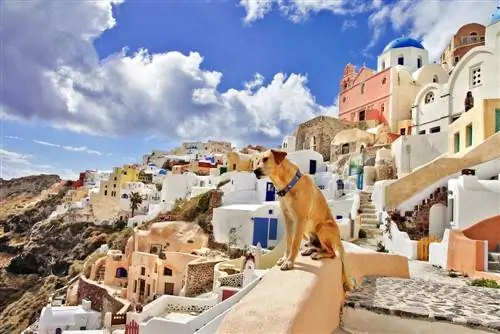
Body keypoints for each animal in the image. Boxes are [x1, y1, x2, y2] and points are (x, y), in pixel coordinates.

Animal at [252, 149, 354, 292]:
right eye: (257, 161)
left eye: (266, 159)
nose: (255, 171)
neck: (287, 185)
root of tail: (339, 240)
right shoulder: (288, 220)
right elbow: (289, 243)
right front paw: (285, 258)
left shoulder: (300, 219)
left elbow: (295, 244)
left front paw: (289, 262)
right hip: (307, 233)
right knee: (320, 246)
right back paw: (311, 250)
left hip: (321, 228)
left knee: (332, 252)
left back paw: (318, 254)